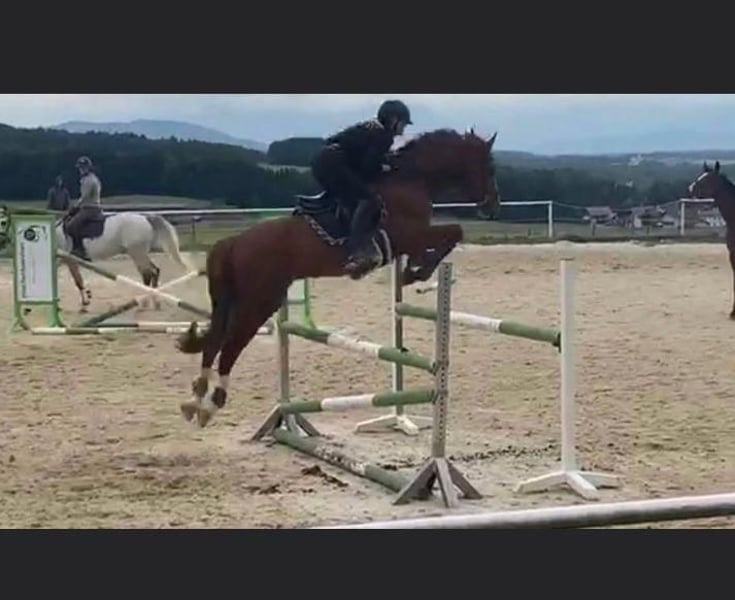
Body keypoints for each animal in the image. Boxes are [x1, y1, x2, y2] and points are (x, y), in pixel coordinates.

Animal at [0, 206, 194, 313]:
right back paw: (155, 302)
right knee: (154, 271)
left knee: (149, 273)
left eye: (3, 221)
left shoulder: (68, 260)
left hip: (136, 252)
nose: (2, 242)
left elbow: (77, 281)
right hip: (139, 253)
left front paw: (84, 304)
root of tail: (145, 217)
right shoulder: (62, 260)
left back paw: (146, 303)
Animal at [175, 127, 502, 428]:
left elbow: (446, 239)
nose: (493, 205)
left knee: (213, 341)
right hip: (259, 300)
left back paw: (195, 400)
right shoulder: (411, 235)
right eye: (488, 166)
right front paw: (416, 272)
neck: (412, 180)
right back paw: (212, 404)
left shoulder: (409, 241)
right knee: (231, 345)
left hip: (236, 300)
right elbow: (455, 232)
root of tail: (234, 243)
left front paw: (413, 270)